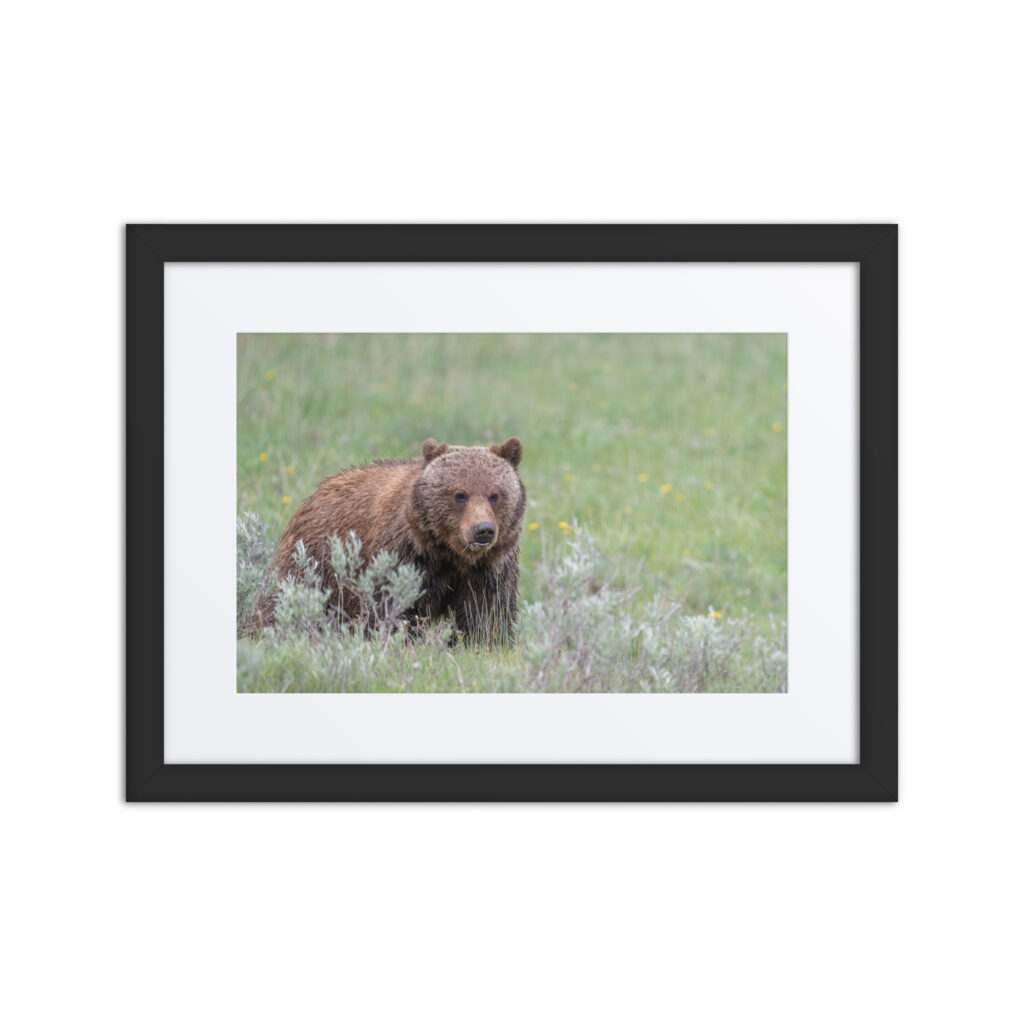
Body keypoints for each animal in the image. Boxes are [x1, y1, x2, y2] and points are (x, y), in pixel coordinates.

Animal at [256, 437, 526, 643]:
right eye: (460, 495)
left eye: (494, 495)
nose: (483, 530)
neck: (448, 553)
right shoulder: (402, 556)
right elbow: (391, 607)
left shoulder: (489, 567)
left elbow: (486, 613)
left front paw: (482, 642)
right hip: (313, 561)